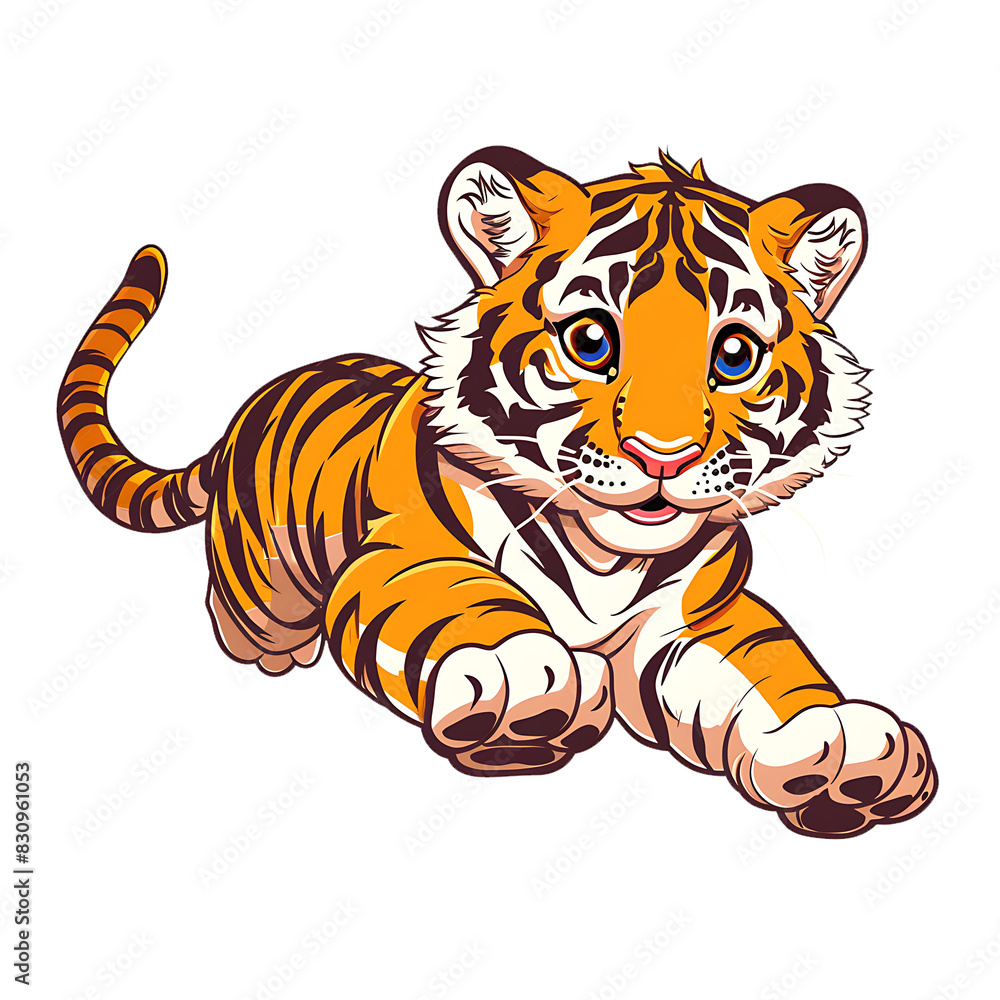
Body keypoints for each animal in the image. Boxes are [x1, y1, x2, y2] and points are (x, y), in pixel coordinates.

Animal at [58, 145, 936, 839]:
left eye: (734, 355)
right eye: (592, 341)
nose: (663, 457)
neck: (606, 560)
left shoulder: (700, 614)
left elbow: (766, 670)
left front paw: (840, 750)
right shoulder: (409, 551)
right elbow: (465, 604)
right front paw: (521, 687)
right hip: (265, 582)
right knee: (243, 611)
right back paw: (273, 651)